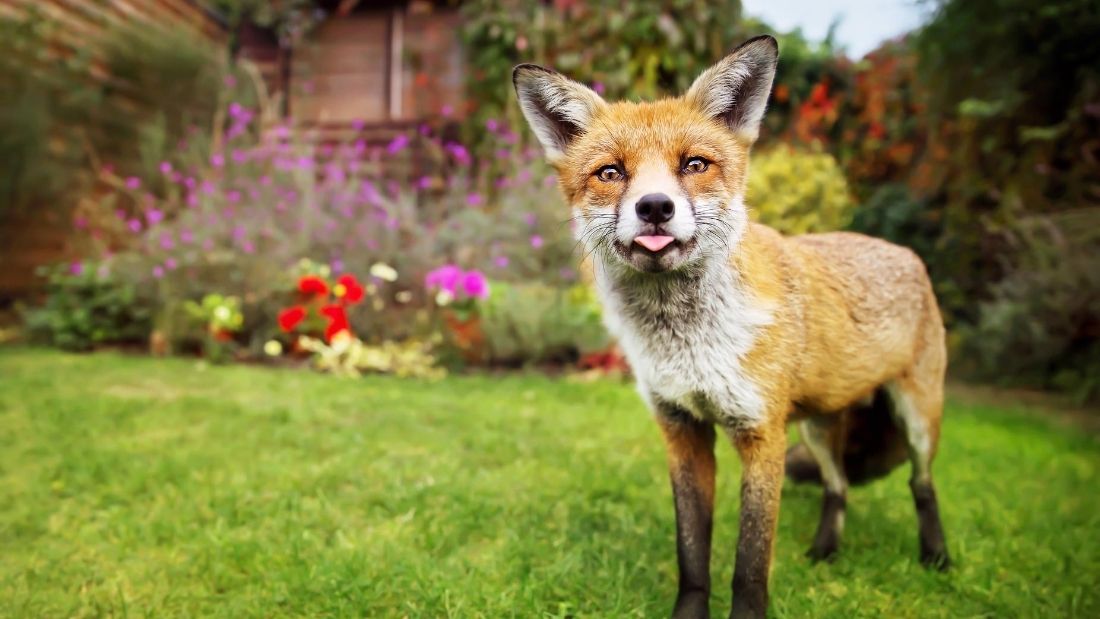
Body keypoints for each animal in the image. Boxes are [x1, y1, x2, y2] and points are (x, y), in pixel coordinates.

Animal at [510, 35, 950, 619]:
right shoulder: (683, 430)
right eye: (610, 173)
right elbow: (692, 555)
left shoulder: (762, 435)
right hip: (817, 426)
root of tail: (905, 254)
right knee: (837, 488)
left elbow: (750, 564)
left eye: (694, 164)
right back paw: (825, 551)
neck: (688, 344)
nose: (655, 207)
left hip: (915, 418)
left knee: (921, 484)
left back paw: (937, 557)